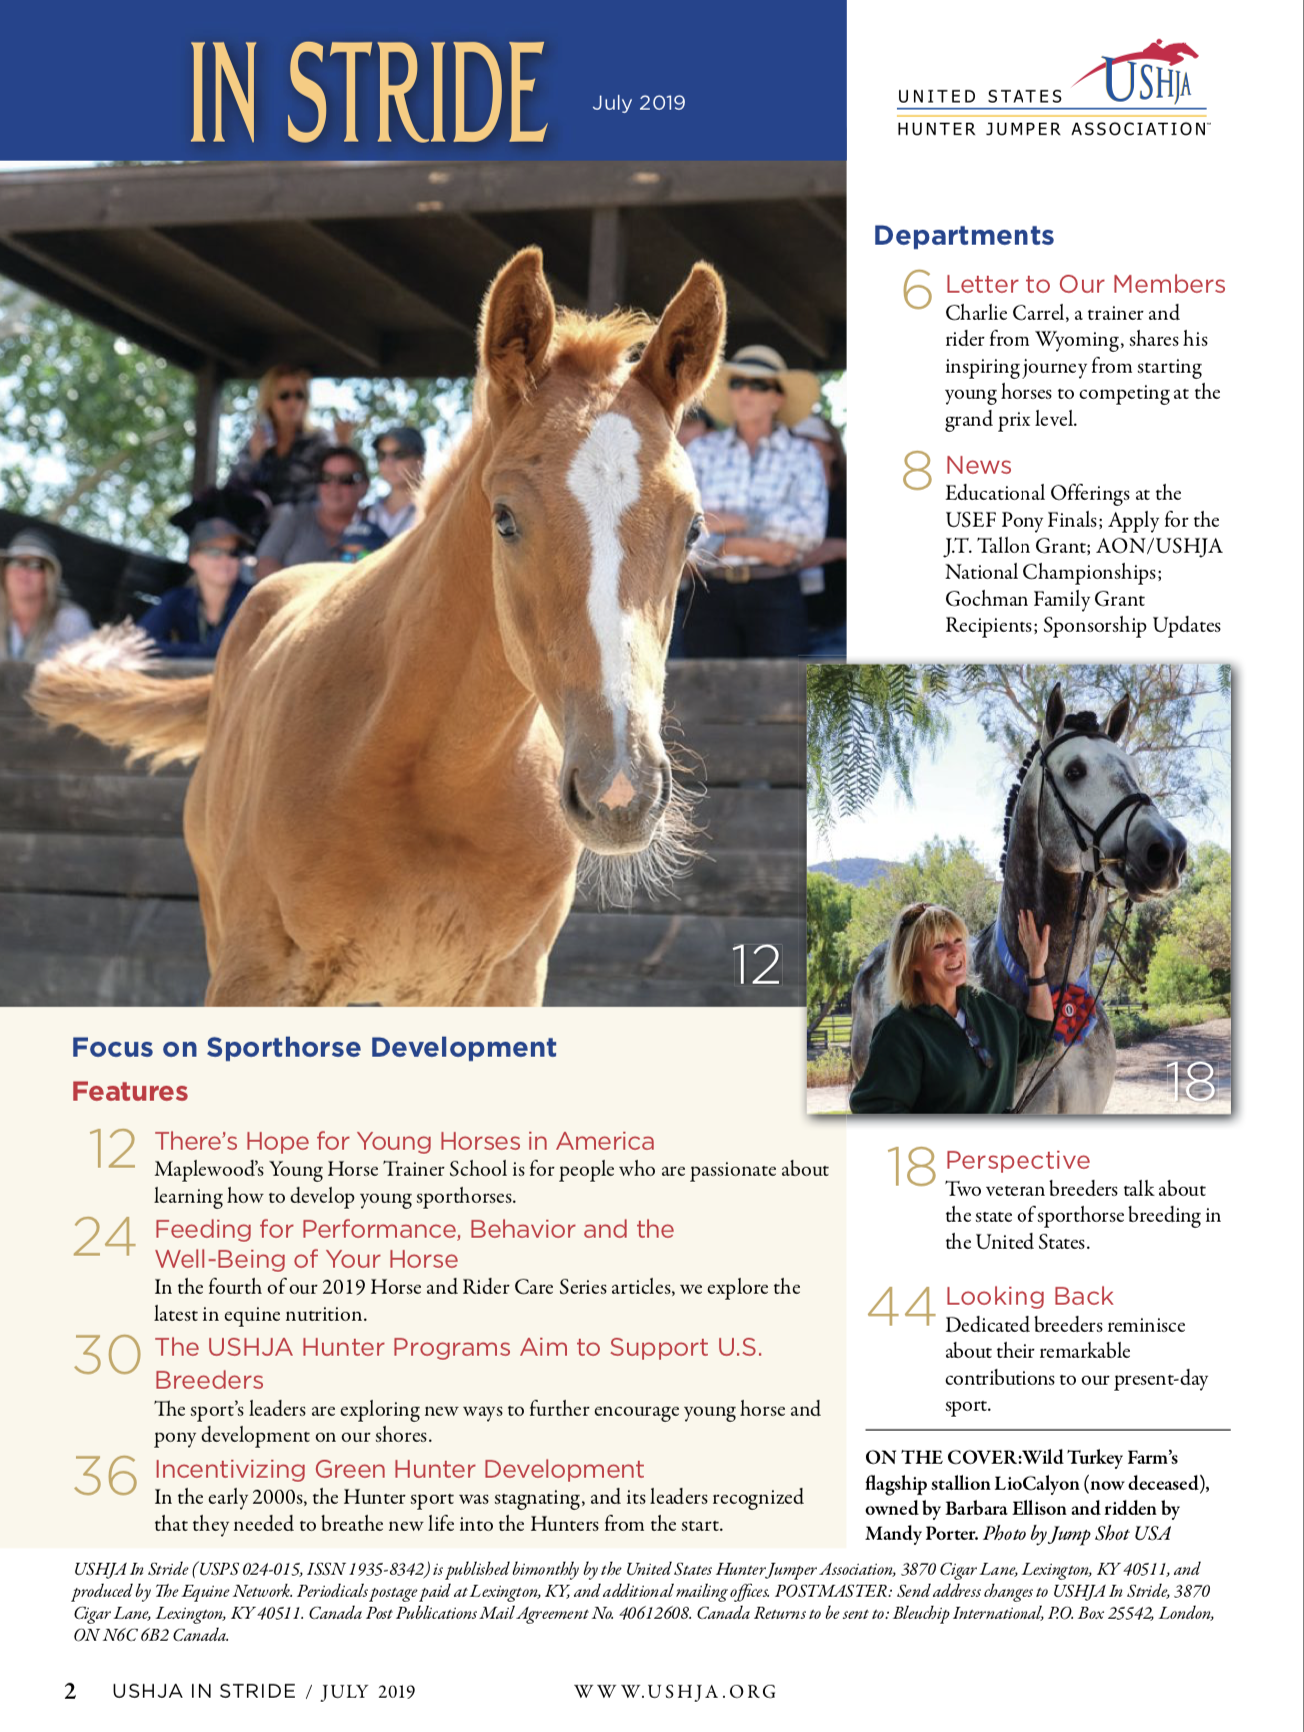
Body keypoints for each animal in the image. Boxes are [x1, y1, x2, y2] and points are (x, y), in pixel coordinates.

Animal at [29, 248, 728, 1007]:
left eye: (693, 527)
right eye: (504, 518)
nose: (619, 790)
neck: (433, 775)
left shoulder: (512, 980)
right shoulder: (251, 972)